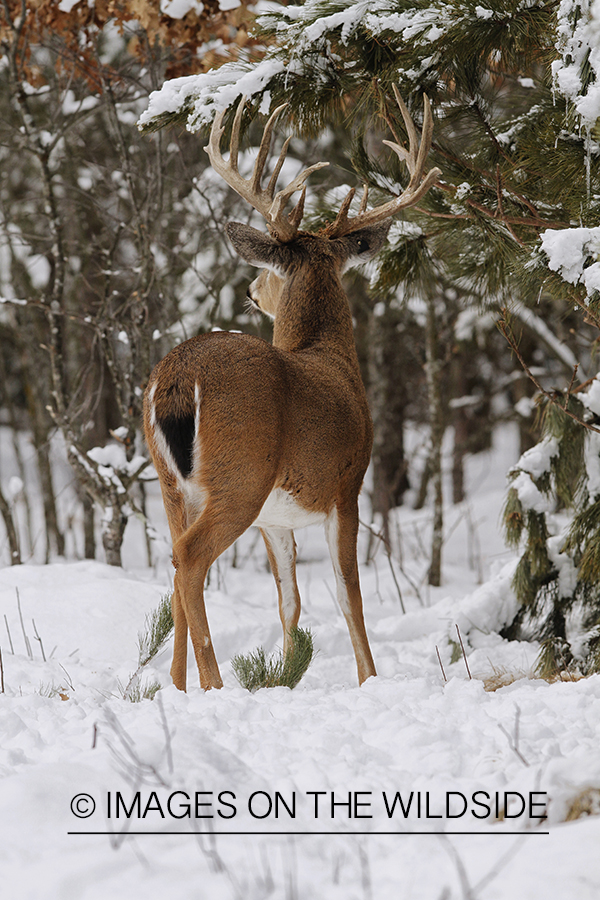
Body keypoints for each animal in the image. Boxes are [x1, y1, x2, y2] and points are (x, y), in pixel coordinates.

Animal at [142, 86, 438, 688]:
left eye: (273, 273)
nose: (253, 289)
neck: (330, 355)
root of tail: (176, 377)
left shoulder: (276, 518)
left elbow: (290, 602)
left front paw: (285, 674)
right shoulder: (347, 484)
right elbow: (350, 596)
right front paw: (368, 679)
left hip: (171, 483)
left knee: (175, 560)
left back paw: (178, 685)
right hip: (241, 473)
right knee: (191, 558)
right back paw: (214, 685)